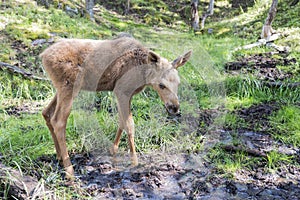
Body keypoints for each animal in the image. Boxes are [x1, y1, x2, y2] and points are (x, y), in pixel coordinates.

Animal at [39, 36, 191, 179]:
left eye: (178, 82)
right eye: (161, 85)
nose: (174, 107)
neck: (143, 76)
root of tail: (43, 56)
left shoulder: (125, 94)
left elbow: (121, 122)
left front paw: (113, 149)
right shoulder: (121, 90)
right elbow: (129, 125)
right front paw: (134, 162)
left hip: (61, 88)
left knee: (46, 112)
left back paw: (59, 156)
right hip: (69, 86)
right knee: (59, 121)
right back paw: (69, 171)